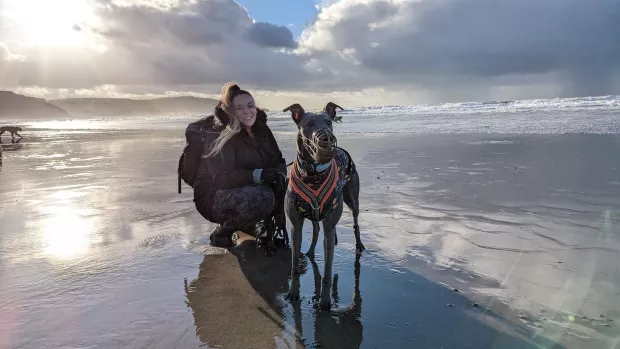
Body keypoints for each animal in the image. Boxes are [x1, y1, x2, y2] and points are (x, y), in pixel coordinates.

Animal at [282, 102, 364, 308]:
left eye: (329, 121)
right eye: (309, 123)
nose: (327, 138)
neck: (313, 174)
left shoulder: (330, 220)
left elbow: (327, 269)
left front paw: (325, 302)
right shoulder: (295, 224)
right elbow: (294, 264)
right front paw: (293, 293)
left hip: (352, 199)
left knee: (355, 222)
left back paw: (359, 244)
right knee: (317, 230)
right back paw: (311, 251)